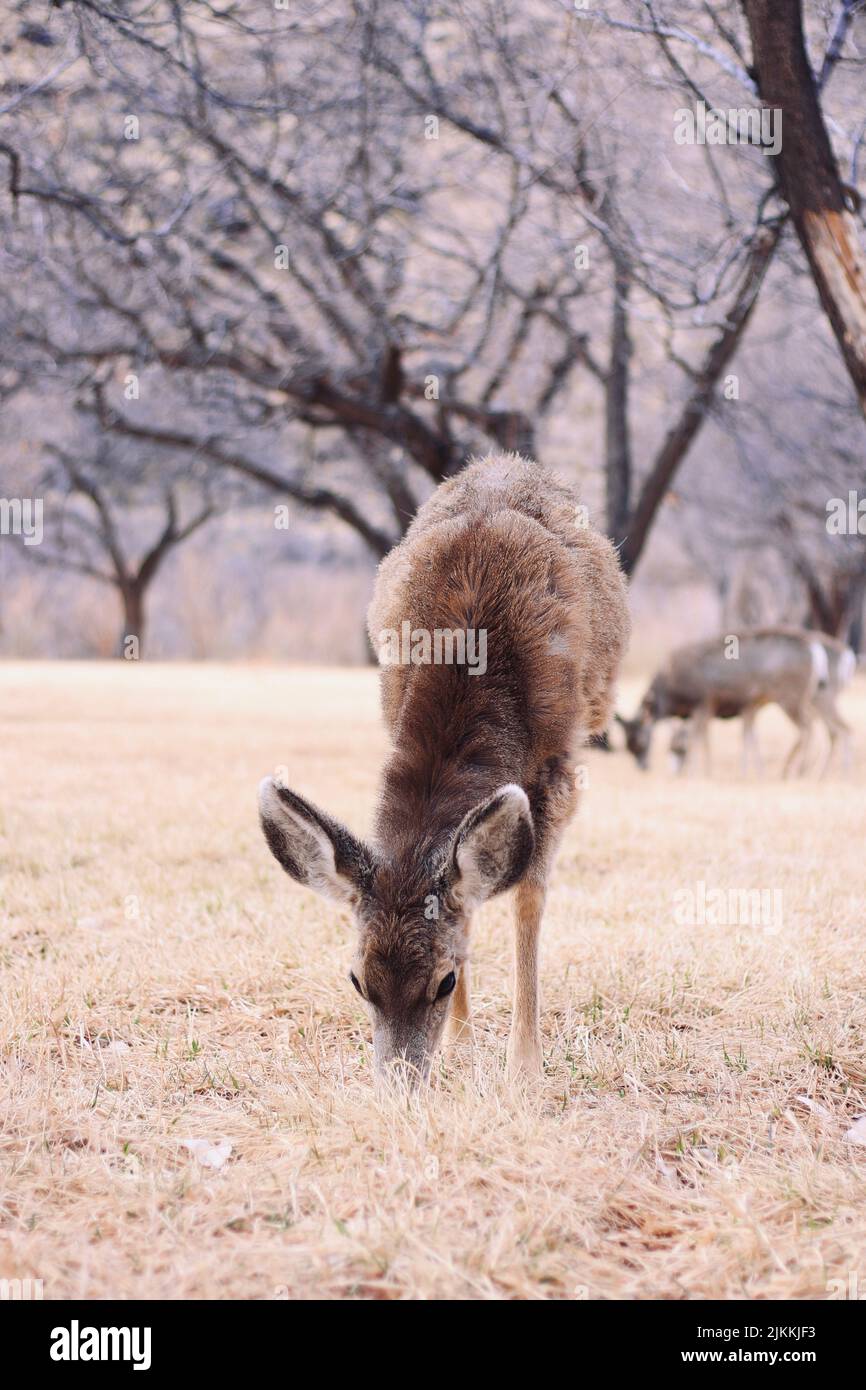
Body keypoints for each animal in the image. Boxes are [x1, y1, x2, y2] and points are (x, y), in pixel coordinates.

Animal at [258, 453, 630, 1084]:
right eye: (357, 980)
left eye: (444, 980)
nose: (400, 1083)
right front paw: (461, 1047)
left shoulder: (558, 765)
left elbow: (528, 895)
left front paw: (524, 1067)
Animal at [617, 627, 855, 778]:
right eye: (627, 745)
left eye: (641, 742)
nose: (642, 768)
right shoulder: (747, 706)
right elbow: (748, 737)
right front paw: (752, 772)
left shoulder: (704, 702)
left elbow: (699, 739)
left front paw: (702, 772)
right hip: (812, 698)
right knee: (836, 729)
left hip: (795, 696)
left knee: (815, 728)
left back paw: (797, 770)